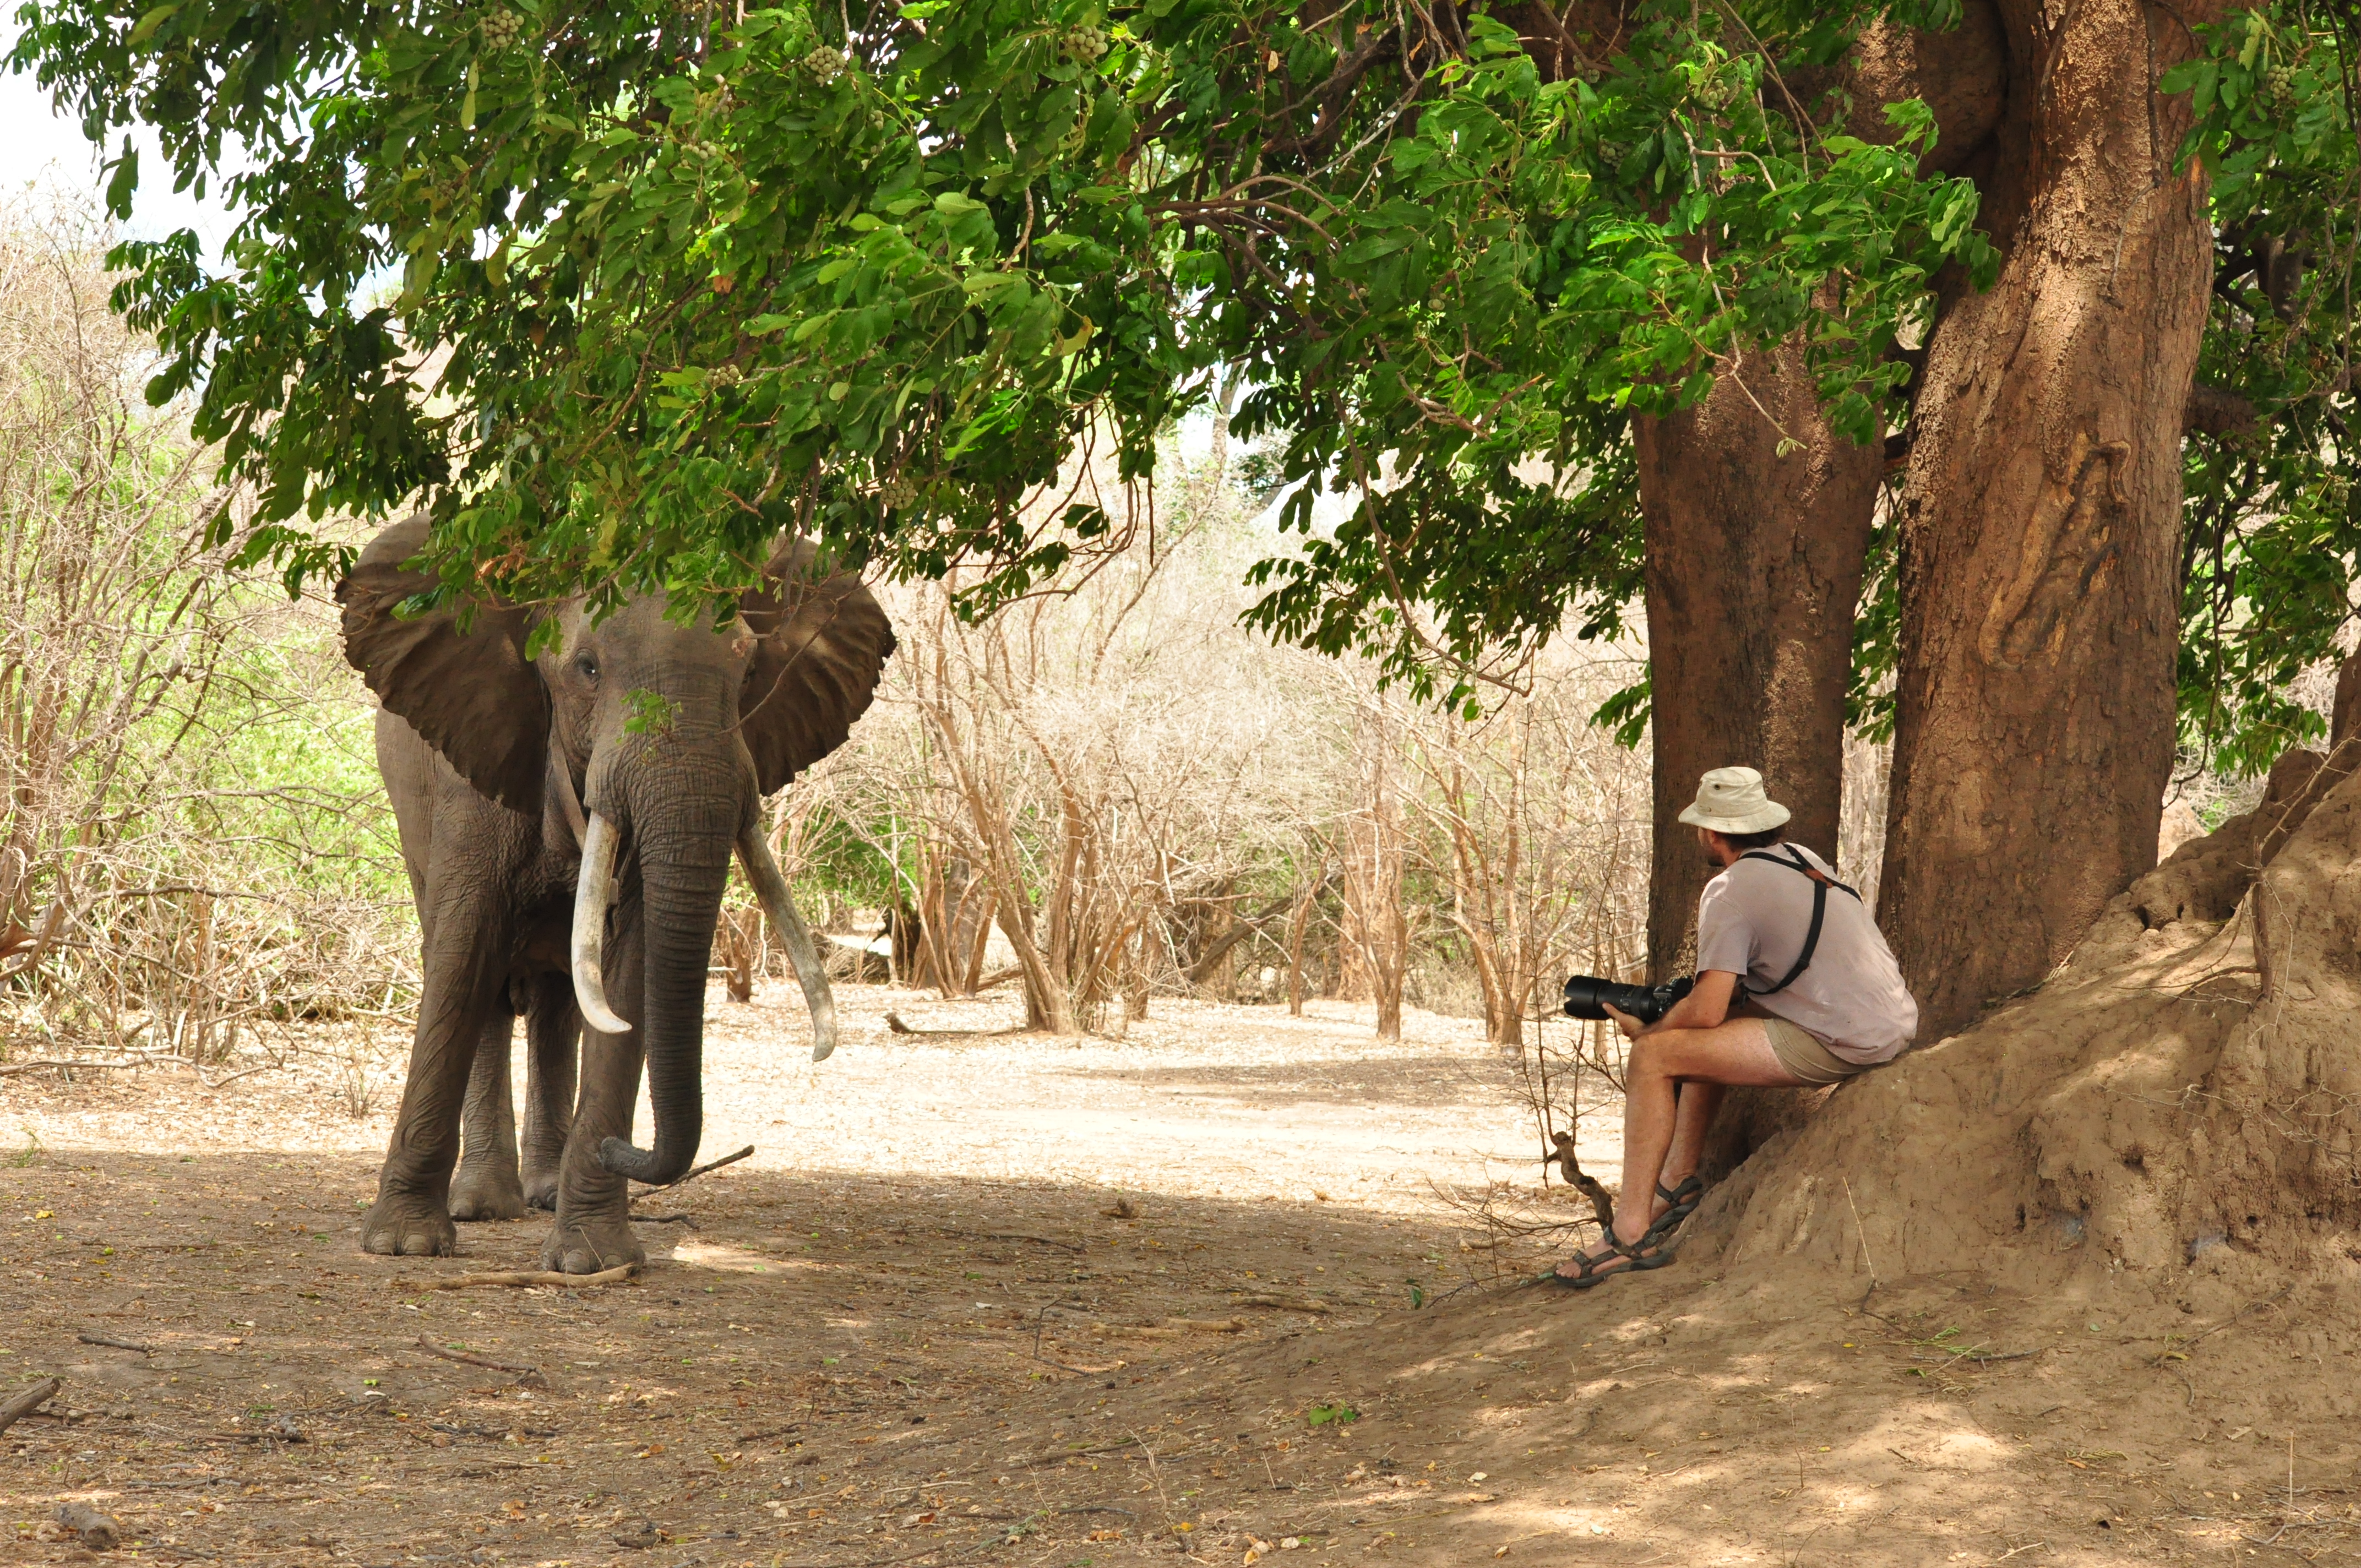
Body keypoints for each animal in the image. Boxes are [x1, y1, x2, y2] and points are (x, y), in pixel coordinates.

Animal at [328, 515, 888, 1275]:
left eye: (749, 673)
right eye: (587, 670)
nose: (624, 1149)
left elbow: (632, 969)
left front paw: (593, 1259)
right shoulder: (477, 767)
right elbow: (460, 959)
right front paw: (403, 1244)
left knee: (562, 999)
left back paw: (541, 1191)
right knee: (485, 985)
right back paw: (485, 1205)